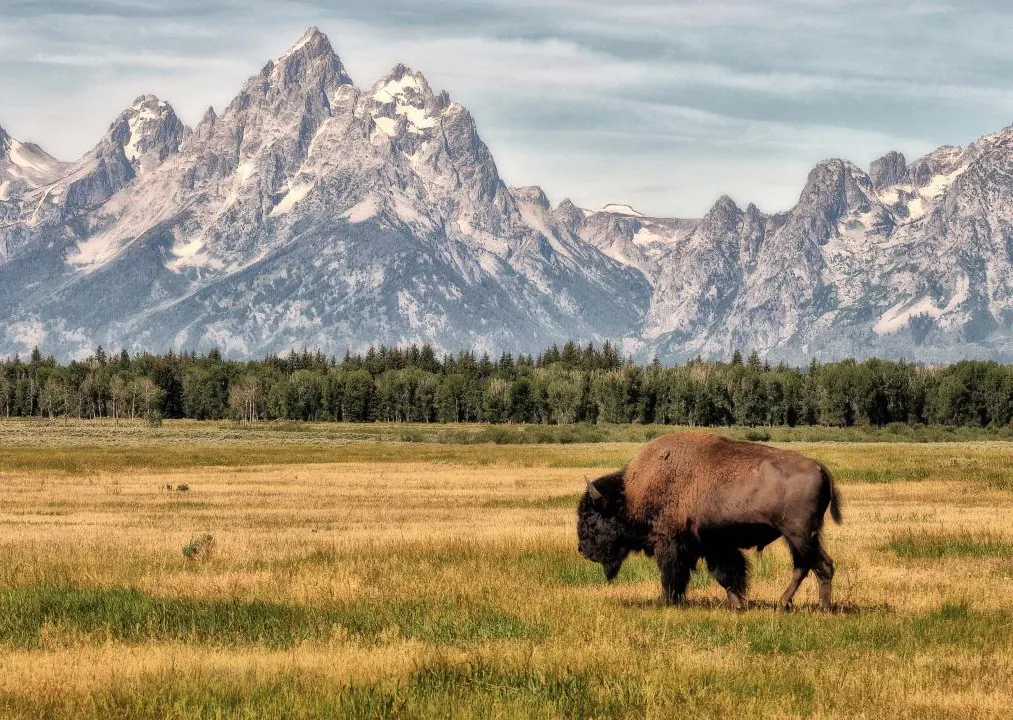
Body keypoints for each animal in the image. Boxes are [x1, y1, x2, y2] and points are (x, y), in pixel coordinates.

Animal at [577, 431, 842, 610]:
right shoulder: (715, 545)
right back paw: (782, 604)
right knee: (803, 567)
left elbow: (674, 575)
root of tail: (820, 468)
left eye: (591, 519)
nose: (582, 550)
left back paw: (822, 609)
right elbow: (727, 575)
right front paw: (737, 605)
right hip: (797, 538)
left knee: (822, 565)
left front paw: (668, 601)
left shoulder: (671, 544)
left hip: (800, 535)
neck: (630, 494)